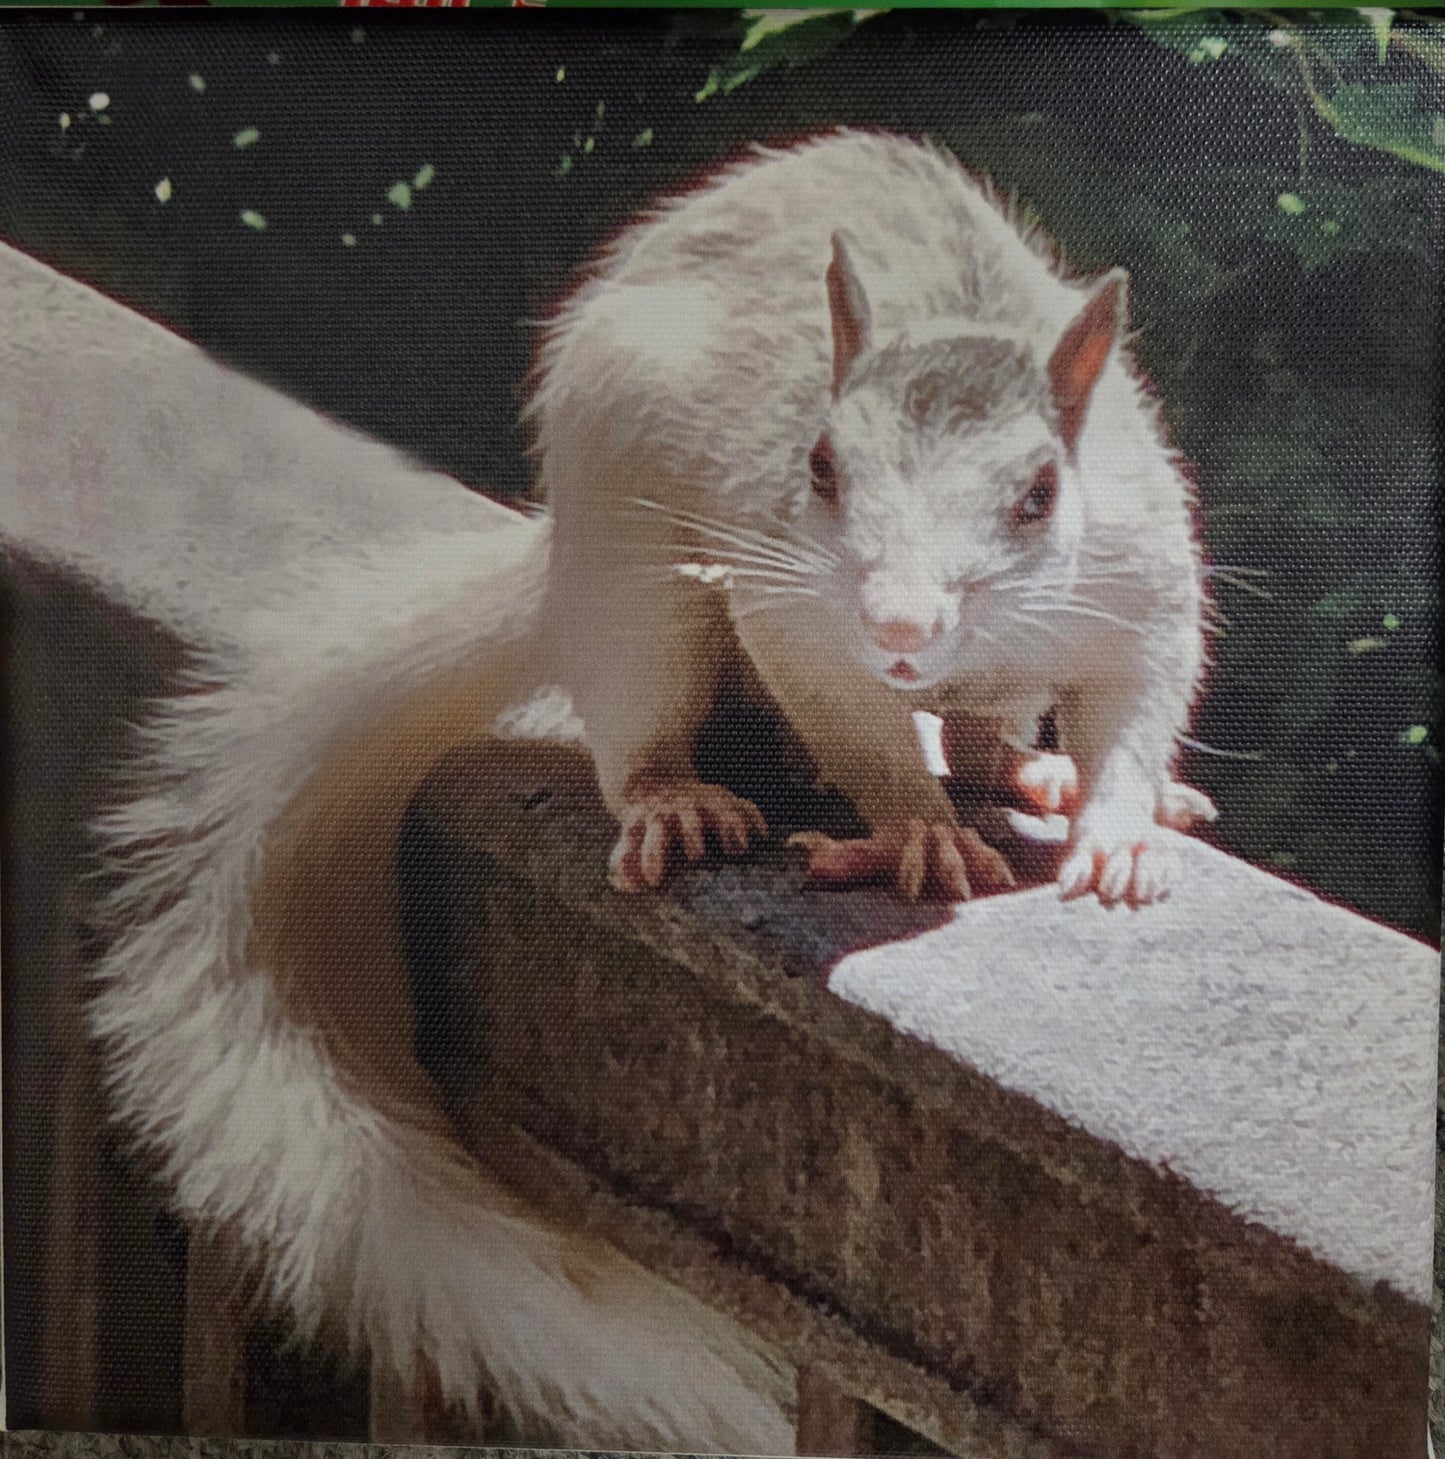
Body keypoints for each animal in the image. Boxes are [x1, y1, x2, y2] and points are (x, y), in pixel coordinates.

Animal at [528, 129, 1215, 906]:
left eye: (1041, 493)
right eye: (819, 464)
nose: (899, 628)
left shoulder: (1142, 583)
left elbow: (1130, 720)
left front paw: (1120, 841)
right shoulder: (793, 612)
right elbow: (864, 742)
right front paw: (926, 834)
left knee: (976, 745)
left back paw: (1044, 772)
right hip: (628, 581)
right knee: (642, 718)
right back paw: (673, 803)